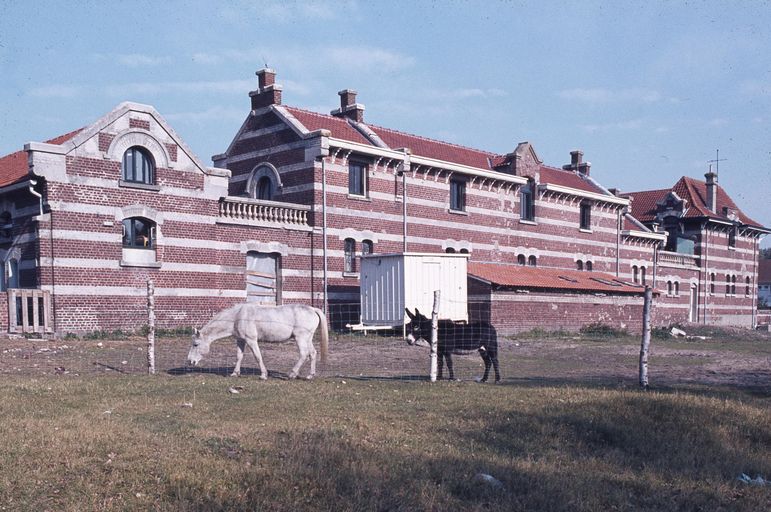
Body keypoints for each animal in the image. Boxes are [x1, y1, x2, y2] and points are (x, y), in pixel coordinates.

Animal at [191, 304, 332, 380]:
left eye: (195, 344)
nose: (190, 361)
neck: (238, 316)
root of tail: (312, 309)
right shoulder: (241, 340)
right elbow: (239, 356)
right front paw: (235, 373)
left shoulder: (251, 340)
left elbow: (258, 356)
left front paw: (263, 375)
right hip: (308, 339)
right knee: (312, 353)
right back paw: (310, 375)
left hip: (300, 338)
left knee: (303, 354)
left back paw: (291, 374)